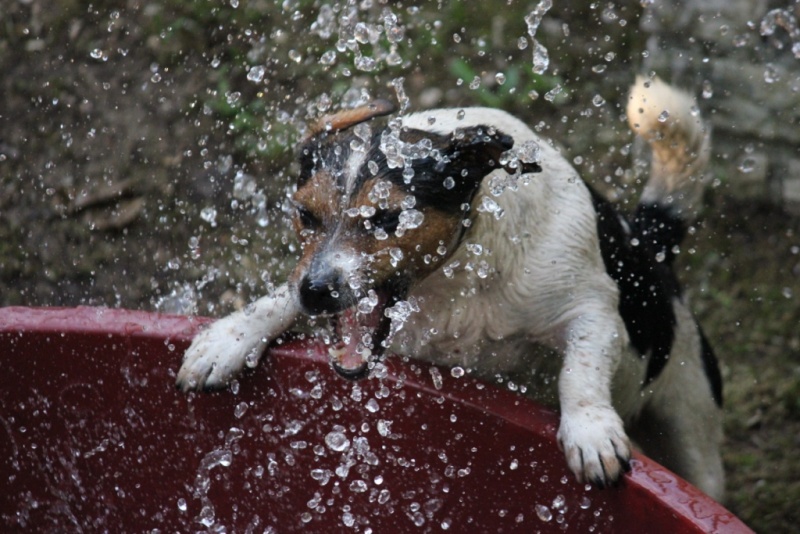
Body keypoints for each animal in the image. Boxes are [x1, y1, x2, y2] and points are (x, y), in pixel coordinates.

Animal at [175, 75, 724, 502]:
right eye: (305, 214)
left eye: (389, 219)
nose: (316, 292)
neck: (458, 276)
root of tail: (651, 240)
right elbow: (276, 297)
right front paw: (230, 337)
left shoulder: (592, 309)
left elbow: (579, 373)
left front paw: (589, 430)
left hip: (690, 422)